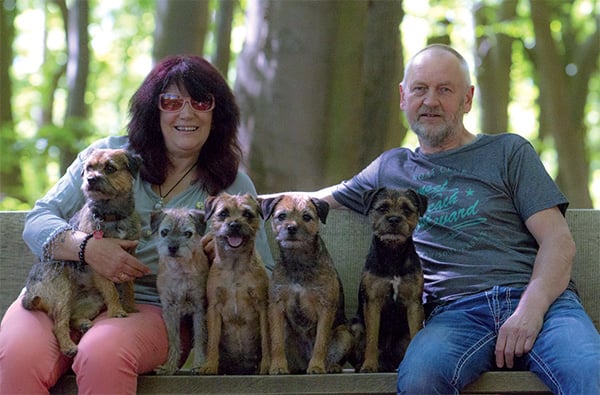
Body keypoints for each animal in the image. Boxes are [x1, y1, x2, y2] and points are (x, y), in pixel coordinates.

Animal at [151, 209, 210, 376]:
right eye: (164, 232)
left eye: (188, 233)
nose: (172, 247)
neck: (180, 269)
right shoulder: (170, 309)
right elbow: (174, 339)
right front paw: (169, 366)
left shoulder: (199, 308)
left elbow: (200, 336)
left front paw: (199, 364)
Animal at [198, 193, 270, 376]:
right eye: (223, 213)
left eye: (247, 214)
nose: (235, 224)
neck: (235, 267)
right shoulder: (214, 308)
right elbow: (213, 340)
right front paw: (210, 366)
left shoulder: (262, 306)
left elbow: (266, 339)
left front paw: (267, 366)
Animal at [350, 189, 428, 374]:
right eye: (382, 208)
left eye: (406, 209)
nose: (394, 219)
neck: (393, 254)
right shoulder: (373, 303)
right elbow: (372, 339)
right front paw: (369, 365)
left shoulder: (413, 304)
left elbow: (415, 334)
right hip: (356, 326)